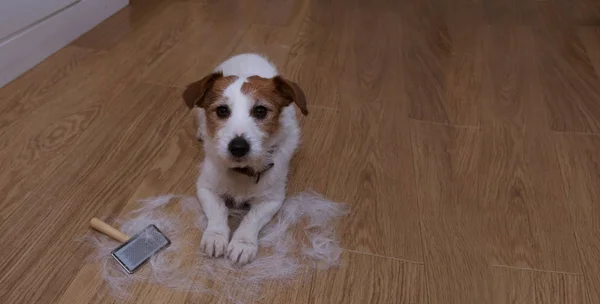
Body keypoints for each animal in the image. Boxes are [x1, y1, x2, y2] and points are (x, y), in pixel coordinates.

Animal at [183, 53, 308, 264]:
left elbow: (252, 218)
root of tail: (247, 54)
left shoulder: (272, 199)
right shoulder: (206, 188)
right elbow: (218, 210)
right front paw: (216, 236)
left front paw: (242, 243)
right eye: (222, 110)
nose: (238, 147)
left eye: (260, 111)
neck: (242, 172)